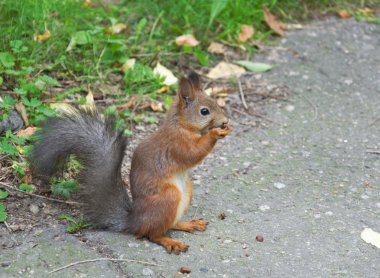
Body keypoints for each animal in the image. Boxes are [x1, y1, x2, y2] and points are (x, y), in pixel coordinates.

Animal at [29, 72, 232, 254]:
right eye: (204, 111)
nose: (225, 121)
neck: (181, 125)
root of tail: (135, 221)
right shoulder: (176, 145)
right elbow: (193, 153)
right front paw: (216, 133)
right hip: (168, 198)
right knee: (152, 234)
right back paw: (170, 242)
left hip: (186, 190)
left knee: (169, 225)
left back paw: (187, 224)